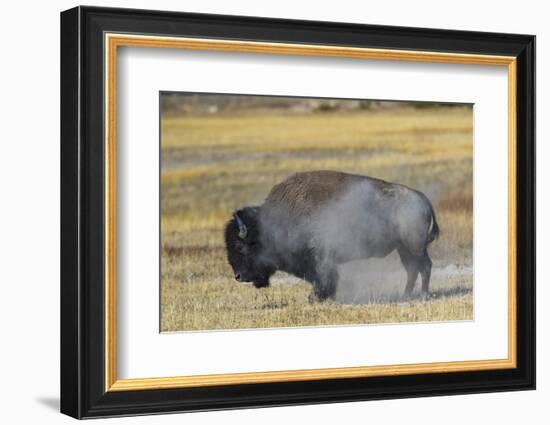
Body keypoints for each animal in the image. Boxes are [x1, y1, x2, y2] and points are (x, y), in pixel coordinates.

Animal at [224, 170, 440, 302]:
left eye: (240, 246)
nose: (238, 276)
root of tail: (422, 198)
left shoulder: (321, 258)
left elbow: (325, 277)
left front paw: (315, 298)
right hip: (403, 248)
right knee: (412, 269)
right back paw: (405, 296)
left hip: (414, 247)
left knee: (424, 267)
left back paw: (424, 295)